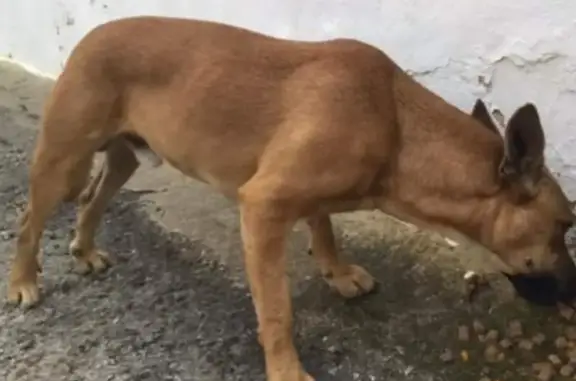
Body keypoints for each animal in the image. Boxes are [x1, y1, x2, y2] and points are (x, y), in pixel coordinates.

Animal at [6, 15, 576, 380]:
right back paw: (23, 281)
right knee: (30, 220)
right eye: (565, 226)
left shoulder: (308, 193)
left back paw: (84, 249)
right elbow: (277, 310)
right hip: (63, 158)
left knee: (93, 200)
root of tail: (90, 34)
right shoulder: (262, 207)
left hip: (122, 158)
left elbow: (323, 224)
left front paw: (336, 270)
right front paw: (285, 368)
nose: (573, 288)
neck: (397, 127)